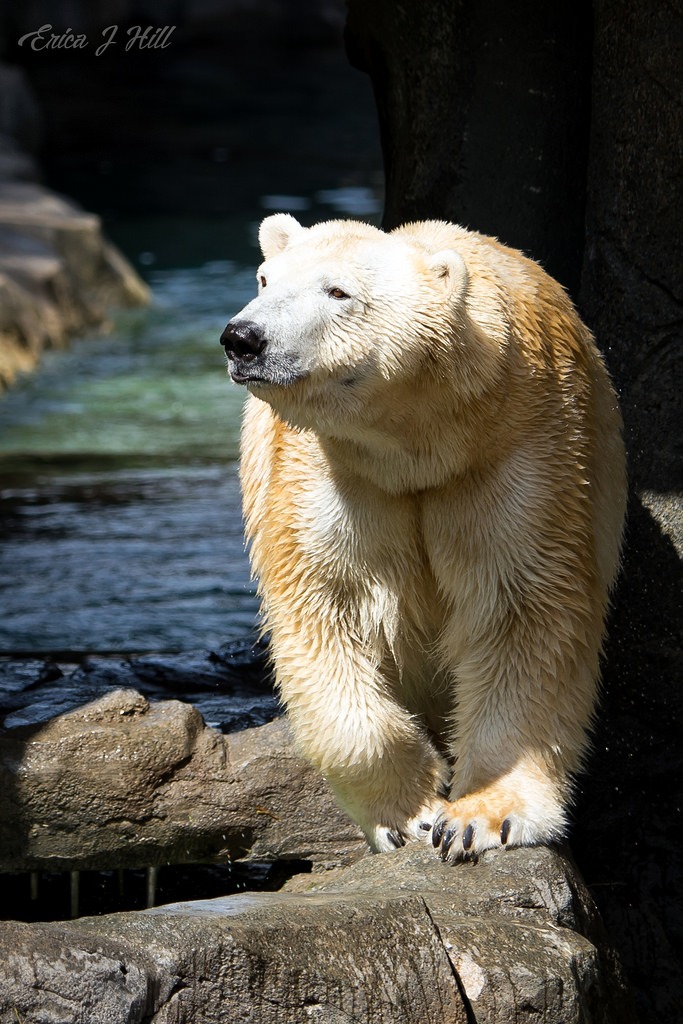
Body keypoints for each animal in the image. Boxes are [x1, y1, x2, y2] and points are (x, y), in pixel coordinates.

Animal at [220, 214, 626, 860]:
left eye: (338, 291)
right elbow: (323, 606)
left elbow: (523, 613)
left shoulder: (524, 446)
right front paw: (409, 812)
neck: (418, 442)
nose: (244, 338)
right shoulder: (329, 468)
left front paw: (481, 817)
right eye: (264, 278)